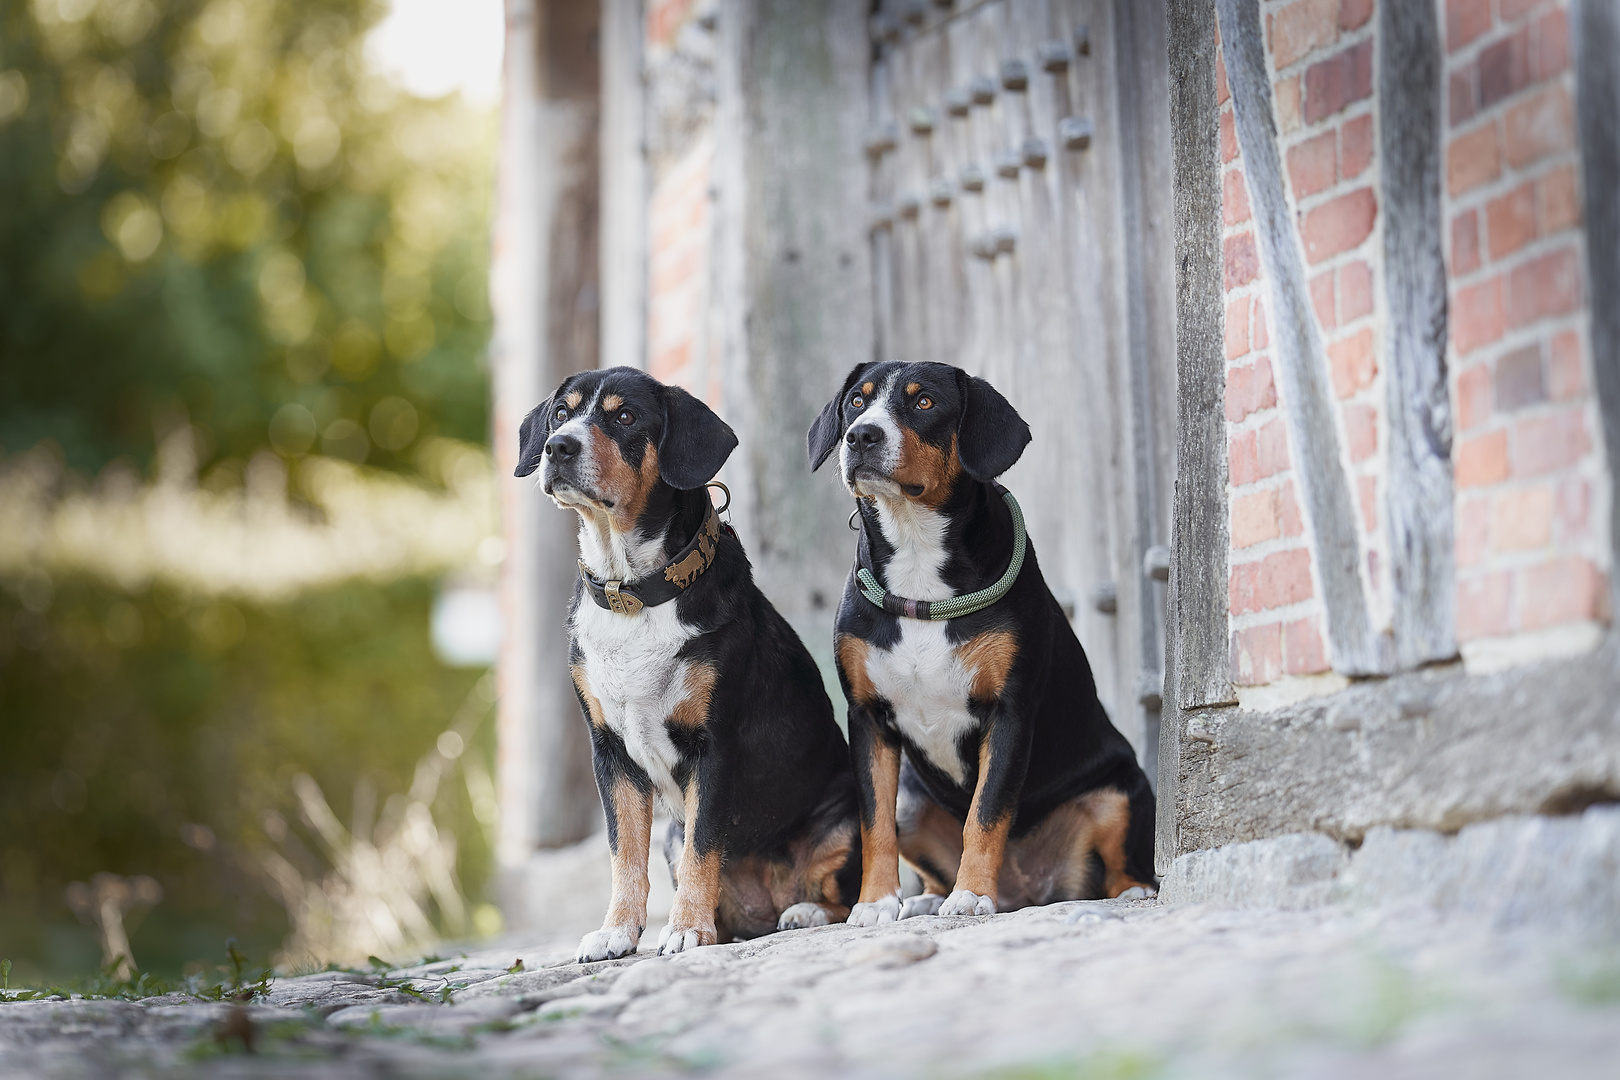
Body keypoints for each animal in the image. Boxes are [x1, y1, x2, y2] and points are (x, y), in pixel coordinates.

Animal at [521, 369, 874, 965]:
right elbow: (623, 854)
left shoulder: (714, 747)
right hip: (670, 835)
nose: (558, 447)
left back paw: (801, 912)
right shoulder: (611, 753)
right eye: (560, 415)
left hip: (844, 824)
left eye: (625, 417)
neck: (635, 591)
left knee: (835, 895)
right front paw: (617, 932)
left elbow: (703, 849)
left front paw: (686, 929)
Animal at [806, 359, 1159, 926]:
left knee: (1121, 865)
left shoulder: (1009, 712)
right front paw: (876, 903)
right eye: (857, 402)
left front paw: (971, 894)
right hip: (912, 800)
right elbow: (873, 823)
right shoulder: (867, 718)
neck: (918, 562)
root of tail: (1026, 890)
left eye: (923, 402)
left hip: (1119, 789)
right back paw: (922, 898)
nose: (861, 436)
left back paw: (1131, 892)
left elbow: (987, 812)